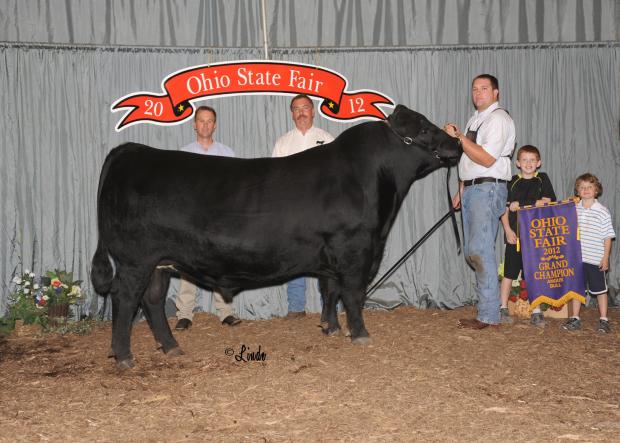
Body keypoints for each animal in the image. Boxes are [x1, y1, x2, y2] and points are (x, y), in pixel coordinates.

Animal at [91, 104, 460, 368]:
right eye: (424, 128)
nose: (456, 142)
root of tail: (131, 150)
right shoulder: (355, 249)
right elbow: (353, 294)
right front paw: (360, 334)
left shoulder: (333, 254)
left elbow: (330, 291)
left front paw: (330, 328)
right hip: (135, 260)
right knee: (125, 298)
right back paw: (124, 356)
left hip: (159, 263)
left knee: (152, 301)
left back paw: (170, 348)